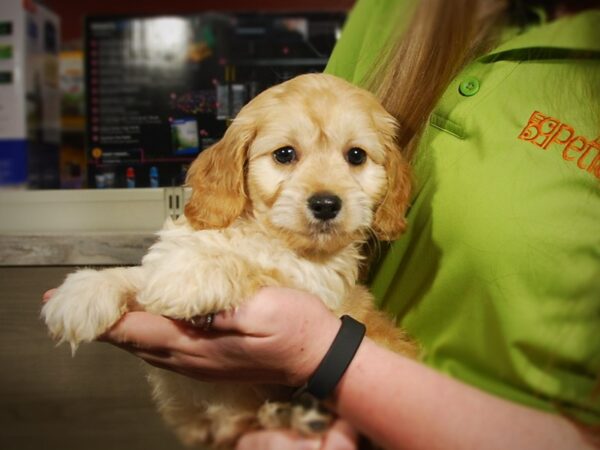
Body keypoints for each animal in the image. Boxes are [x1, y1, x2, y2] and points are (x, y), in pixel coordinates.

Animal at [42, 73, 418, 446]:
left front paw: (193, 276)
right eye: (285, 154)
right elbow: (144, 273)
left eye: (356, 156)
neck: (262, 232)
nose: (326, 204)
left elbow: (257, 268)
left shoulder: (312, 285)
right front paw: (85, 290)